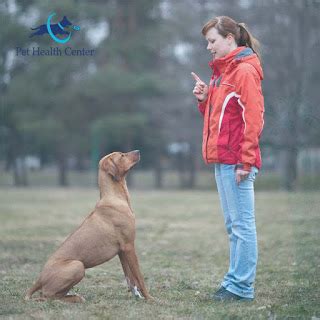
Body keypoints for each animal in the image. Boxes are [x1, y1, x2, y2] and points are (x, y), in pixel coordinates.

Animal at [24, 150, 152, 302]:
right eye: (121, 155)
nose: (138, 151)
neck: (114, 198)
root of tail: (39, 279)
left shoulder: (122, 251)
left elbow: (130, 277)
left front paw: (137, 296)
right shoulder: (129, 246)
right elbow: (139, 277)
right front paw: (150, 298)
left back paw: (75, 296)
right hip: (78, 266)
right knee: (48, 295)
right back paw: (76, 299)